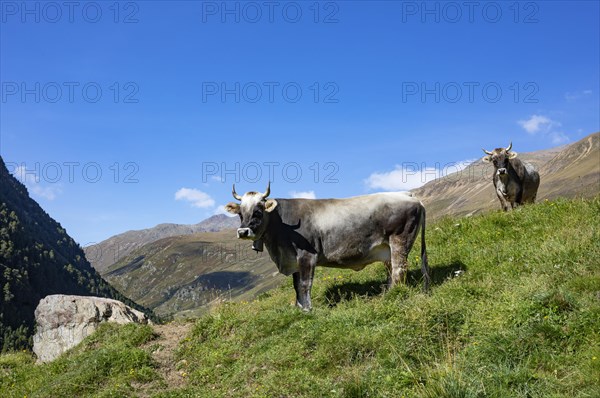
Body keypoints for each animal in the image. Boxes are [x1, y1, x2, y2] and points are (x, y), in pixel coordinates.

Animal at [223, 183, 428, 310]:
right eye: (240, 213)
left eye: (258, 212)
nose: (243, 232)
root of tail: (408, 195)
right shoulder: (293, 259)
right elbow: (296, 285)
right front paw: (298, 307)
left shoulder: (307, 256)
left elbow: (305, 284)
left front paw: (308, 309)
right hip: (386, 249)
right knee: (391, 270)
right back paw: (387, 292)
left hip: (400, 240)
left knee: (399, 269)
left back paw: (395, 294)